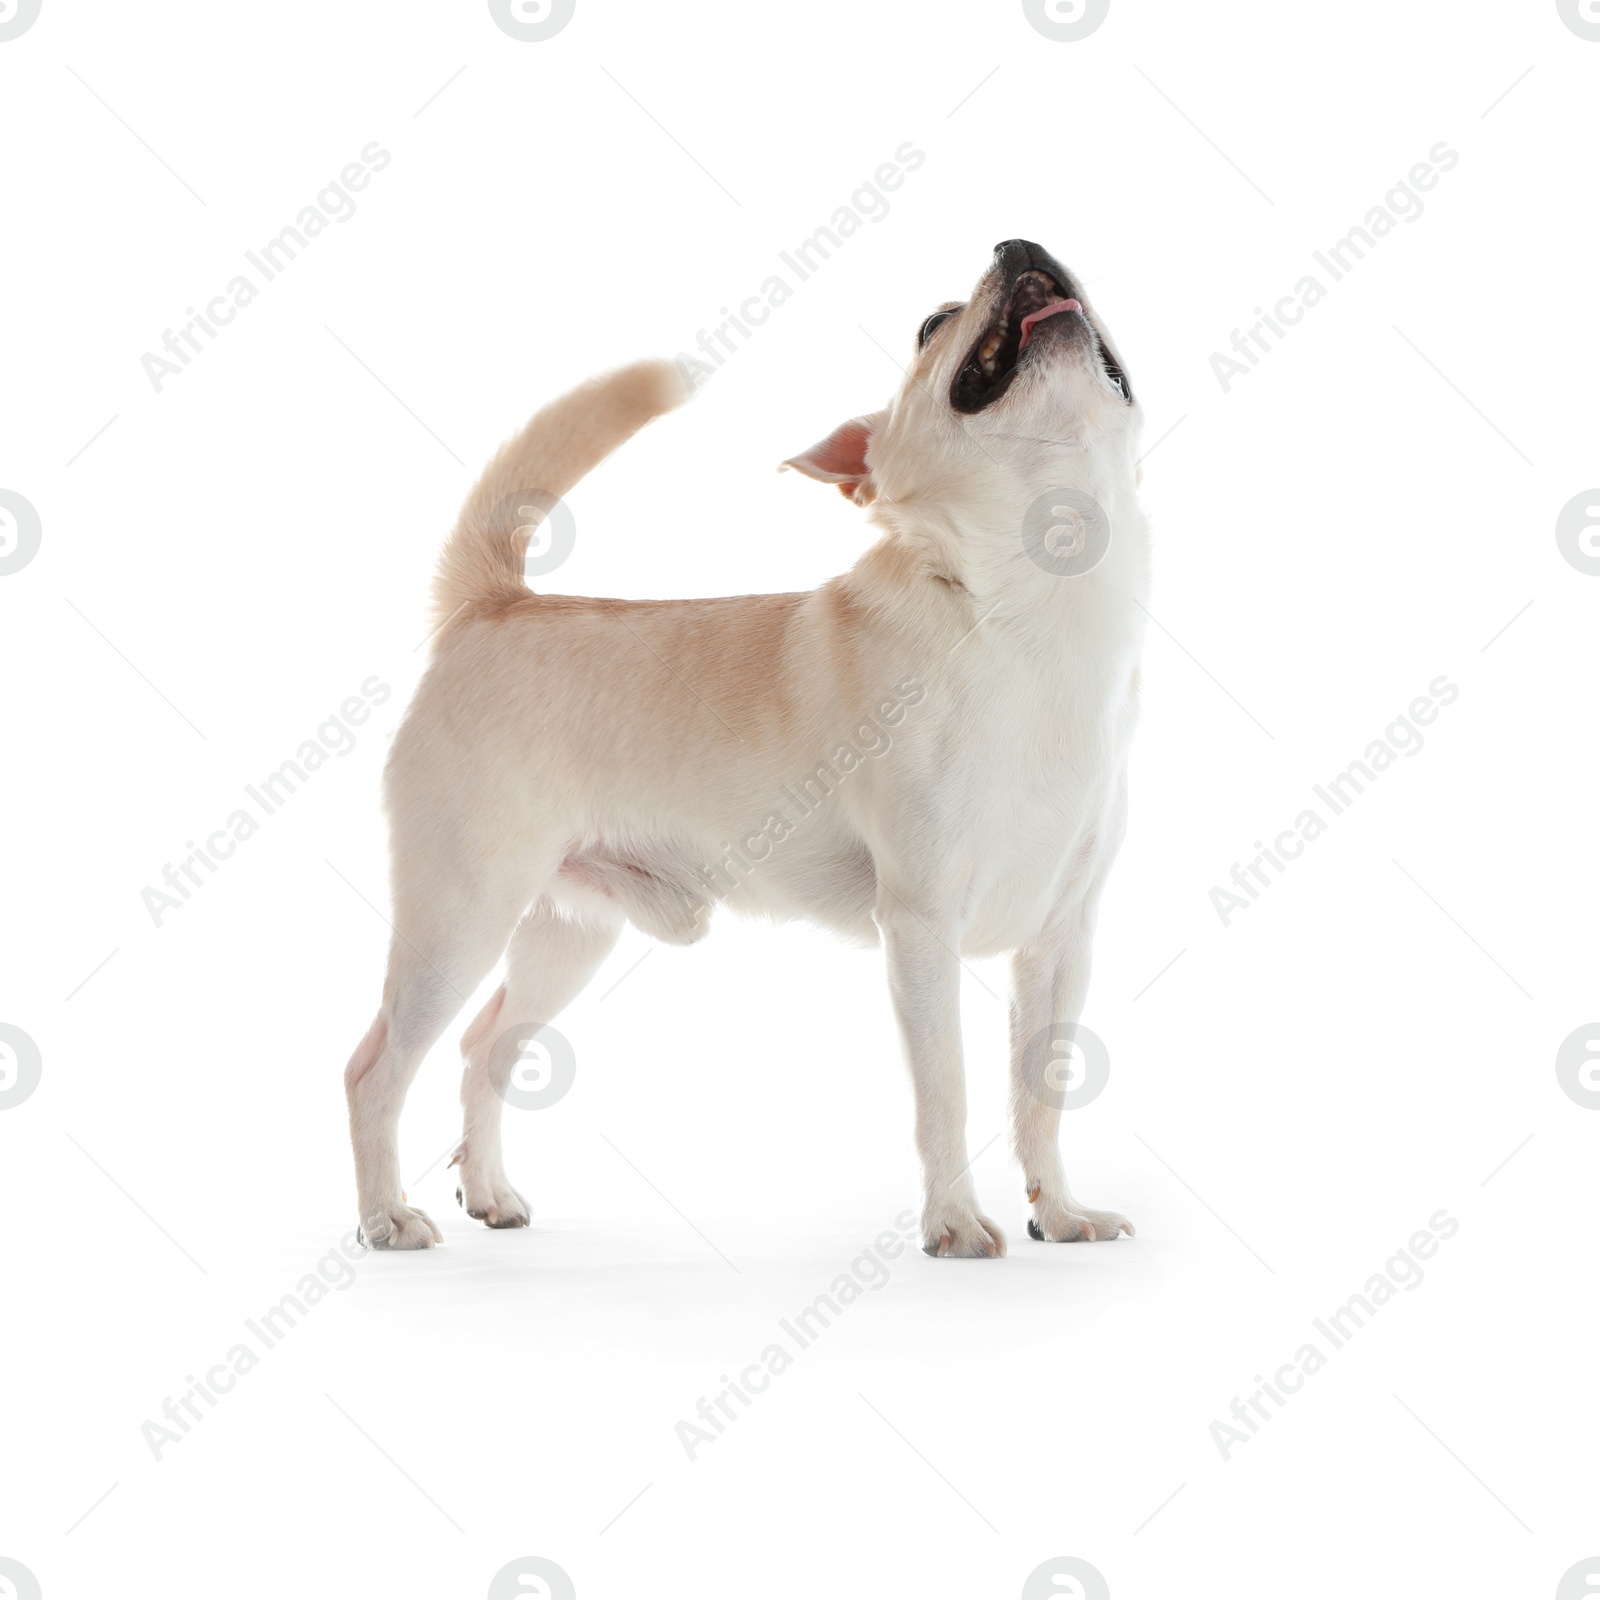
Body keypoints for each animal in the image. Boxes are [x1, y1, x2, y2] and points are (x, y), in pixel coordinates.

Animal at [347, 240, 1152, 1260]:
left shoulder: (1060, 944)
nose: (1021, 245)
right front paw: (955, 1223)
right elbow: (948, 1093)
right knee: (375, 1068)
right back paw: (384, 1216)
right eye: (933, 326)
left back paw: (488, 1192)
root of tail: (498, 602)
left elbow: (1038, 1095)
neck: (1029, 602)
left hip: (565, 935)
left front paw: (1059, 1210)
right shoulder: (921, 929)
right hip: (458, 922)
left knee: (481, 1047)